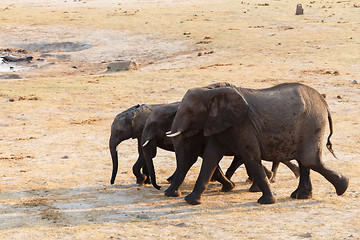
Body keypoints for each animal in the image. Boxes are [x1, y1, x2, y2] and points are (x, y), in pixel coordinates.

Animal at [167, 82, 348, 204]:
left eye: (190, 112)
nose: (173, 194)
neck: (212, 90)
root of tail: (325, 103)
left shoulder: (243, 125)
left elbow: (251, 158)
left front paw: (267, 201)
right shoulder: (221, 124)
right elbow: (210, 157)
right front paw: (191, 200)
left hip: (312, 123)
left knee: (309, 160)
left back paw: (343, 187)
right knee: (305, 161)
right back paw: (302, 196)